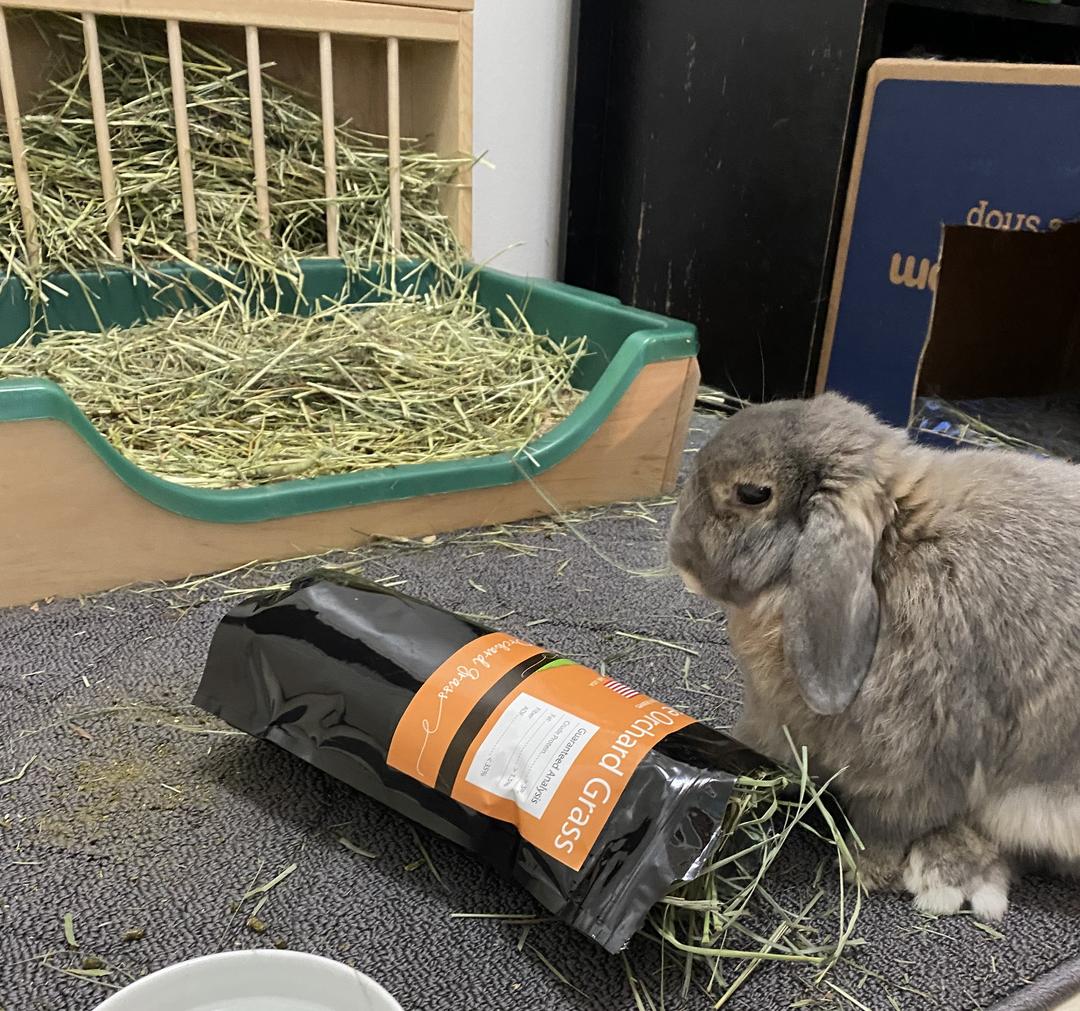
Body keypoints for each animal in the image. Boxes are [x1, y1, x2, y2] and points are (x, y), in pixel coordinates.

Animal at [665, 391, 1080, 920]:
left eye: (752, 493)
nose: (678, 552)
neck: (889, 554)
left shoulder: (908, 773)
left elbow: (885, 828)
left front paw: (864, 872)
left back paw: (947, 876)